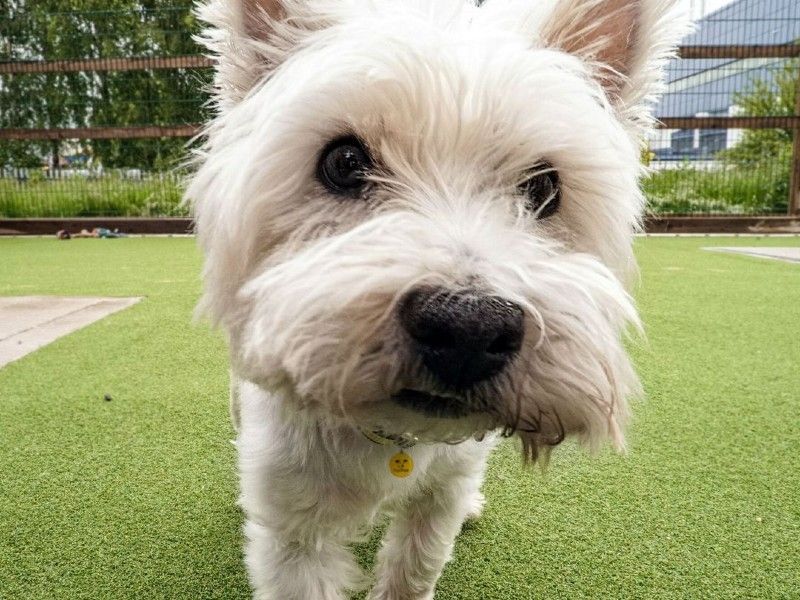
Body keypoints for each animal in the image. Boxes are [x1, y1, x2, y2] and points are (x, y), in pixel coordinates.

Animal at [186, 2, 680, 596]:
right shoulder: (293, 528)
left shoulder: (441, 494)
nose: (468, 329)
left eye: (544, 188)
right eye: (343, 162)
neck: (394, 435)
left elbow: (415, 566)